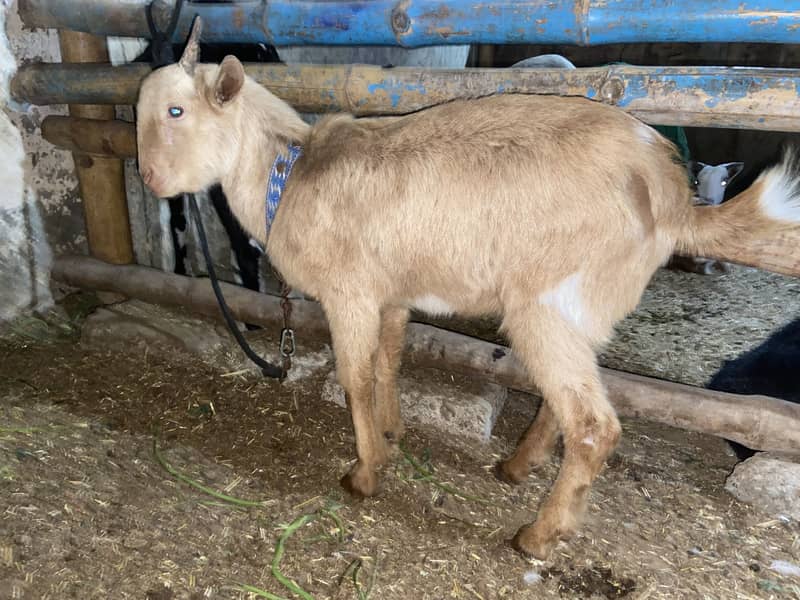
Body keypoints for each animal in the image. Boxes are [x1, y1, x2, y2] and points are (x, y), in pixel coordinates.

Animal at [135, 18, 800, 560]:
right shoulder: (393, 294)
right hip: (582, 308)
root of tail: (669, 196)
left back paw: (537, 535)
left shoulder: (350, 291)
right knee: (569, 399)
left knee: (594, 423)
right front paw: (391, 433)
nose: (148, 177)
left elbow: (353, 375)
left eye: (176, 113)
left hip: (546, 302)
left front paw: (365, 474)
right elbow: (388, 362)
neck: (288, 175)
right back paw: (517, 465)